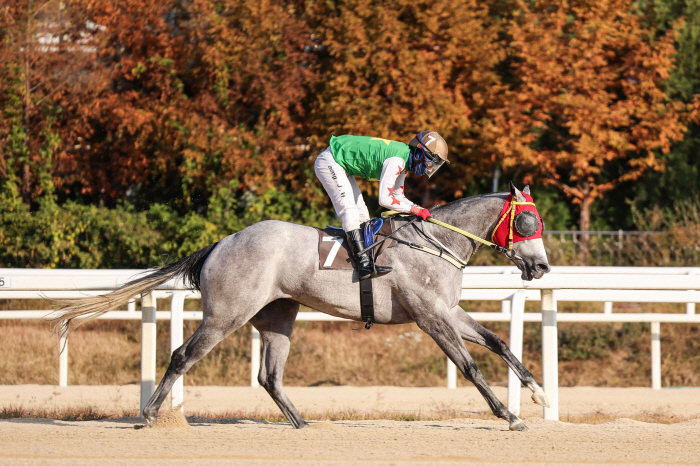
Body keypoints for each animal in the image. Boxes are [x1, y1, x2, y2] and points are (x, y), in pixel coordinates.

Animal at [50, 182, 552, 434]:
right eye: (529, 221)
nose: (542, 266)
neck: (436, 243)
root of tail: (220, 243)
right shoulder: (431, 318)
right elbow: (470, 366)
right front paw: (508, 416)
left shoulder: (449, 311)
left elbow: (499, 343)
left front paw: (538, 394)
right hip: (226, 314)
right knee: (182, 356)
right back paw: (152, 415)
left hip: (278, 317)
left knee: (268, 375)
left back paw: (301, 421)